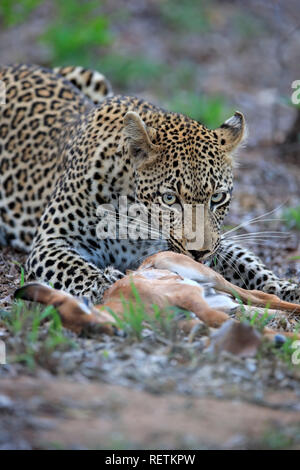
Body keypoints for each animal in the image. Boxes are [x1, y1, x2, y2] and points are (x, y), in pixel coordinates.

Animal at [0, 63, 298, 302]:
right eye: (169, 199)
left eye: (217, 198)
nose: (199, 254)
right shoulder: (52, 240)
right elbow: (75, 268)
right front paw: (103, 284)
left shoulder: (215, 241)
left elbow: (249, 263)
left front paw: (286, 288)